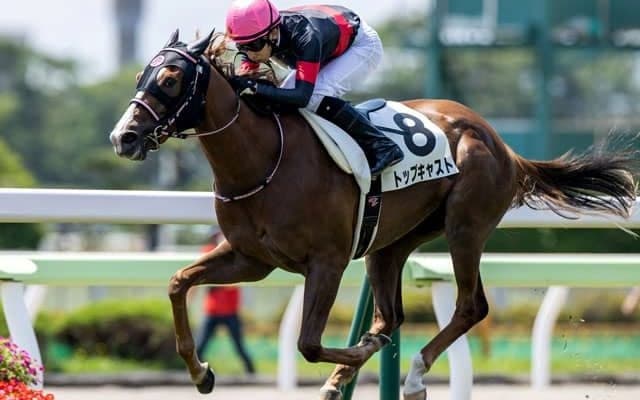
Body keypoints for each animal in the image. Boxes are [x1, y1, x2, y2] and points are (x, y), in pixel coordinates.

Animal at [109, 30, 638, 400]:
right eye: (139, 78)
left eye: (171, 79)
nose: (124, 137)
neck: (262, 160)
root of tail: (500, 142)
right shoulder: (251, 259)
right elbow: (178, 282)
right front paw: (201, 372)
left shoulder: (327, 261)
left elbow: (308, 342)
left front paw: (357, 355)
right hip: (392, 242)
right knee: (391, 315)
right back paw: (351, 373)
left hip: (465, 226)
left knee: (470, 306)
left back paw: (414, 374)